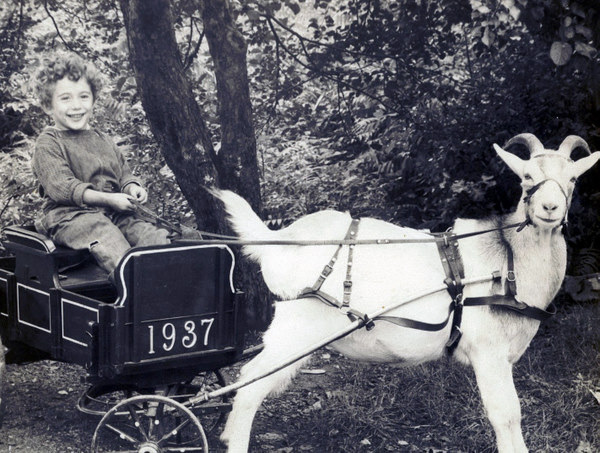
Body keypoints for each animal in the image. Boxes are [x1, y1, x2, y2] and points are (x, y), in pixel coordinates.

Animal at [218, 134, 596, 452]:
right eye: (526, 177)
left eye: (573, 179)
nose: (550, 208)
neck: (507, 256)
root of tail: (278, 241)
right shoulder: (488, 352)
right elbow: (507, 415)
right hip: (294, 332)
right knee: (249, 385)